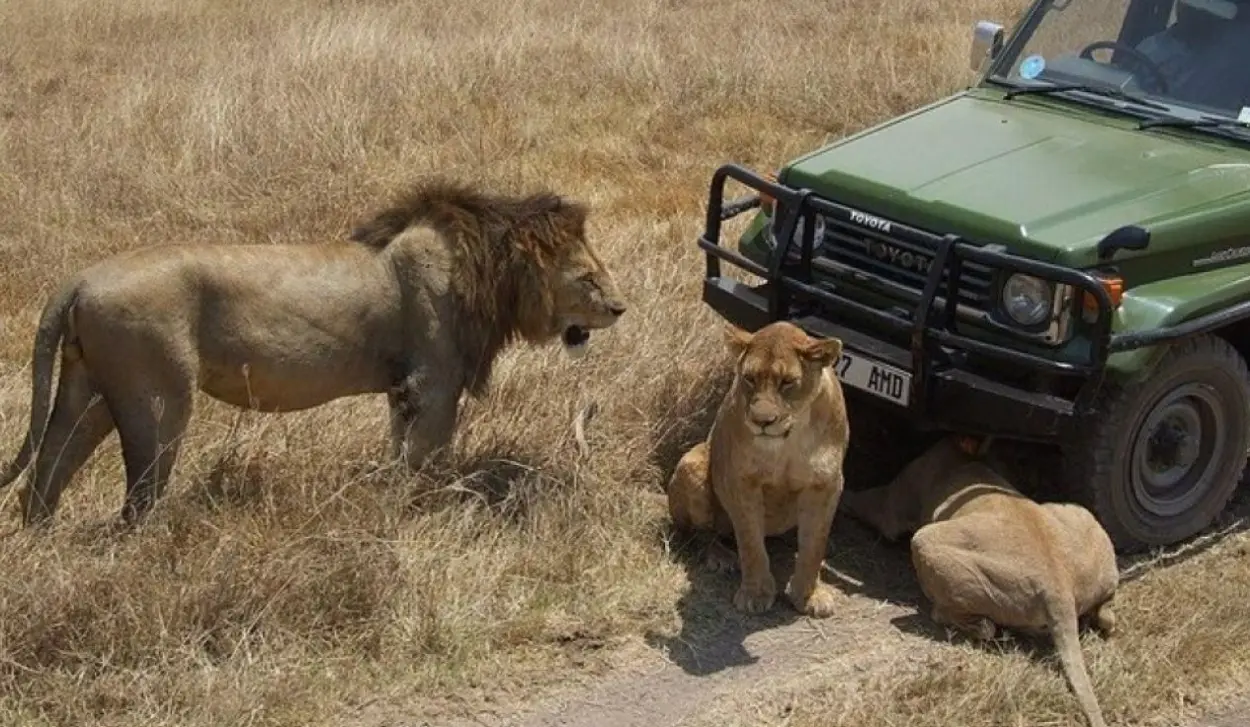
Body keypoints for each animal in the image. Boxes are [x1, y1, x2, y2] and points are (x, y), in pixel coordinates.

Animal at [0, 178, 627, 527]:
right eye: (588, 277)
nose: (620, 307)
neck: (487, 270)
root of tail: (78, 280)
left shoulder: (403, 390)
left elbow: (401, 451)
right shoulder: (432, 383)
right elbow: (426, 458)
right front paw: (427, 509)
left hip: (88, 390)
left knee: (45, 475)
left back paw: (45, 544)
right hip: (156, 397)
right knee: (139, 497)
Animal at [666, 321, 849, 618]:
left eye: (788, 382)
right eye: (750, 378)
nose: (762, 420)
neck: (789, 440)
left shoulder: (826, 484)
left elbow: (813, 544)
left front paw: (809, 595)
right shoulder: (741, 481)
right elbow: (751, 541)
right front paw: (756, 594)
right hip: (690, 465)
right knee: (700, 534)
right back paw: (721, 556)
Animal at [841, 435, 1118, 727]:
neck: (962, 456)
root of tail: (1059, 587)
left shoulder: (892, 507)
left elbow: (862, 500)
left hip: (926, 540)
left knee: (981, 625)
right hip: (1081, 518)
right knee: (1107, 613)